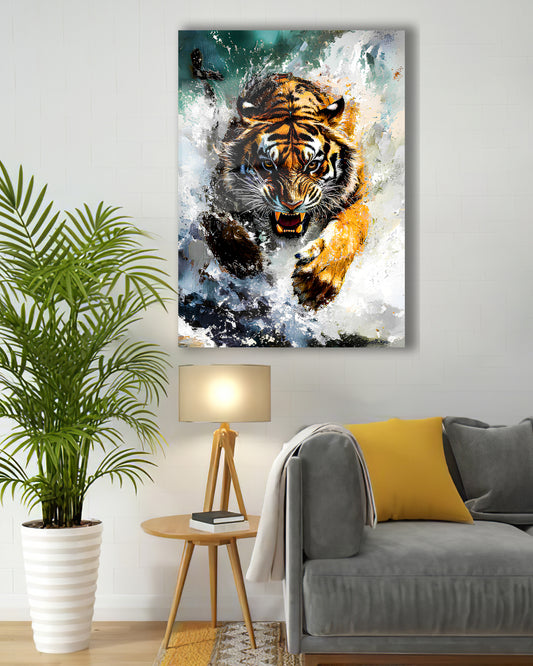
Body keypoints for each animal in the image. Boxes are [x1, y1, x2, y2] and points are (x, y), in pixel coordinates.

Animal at [202, 73, 370, 310]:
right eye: (268, 164)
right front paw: (245, 260)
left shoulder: (356, 198)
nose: (291, 204)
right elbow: (216, 222)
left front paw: (317, 282)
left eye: (312, 165)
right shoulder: (216, 195)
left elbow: (349, 231)